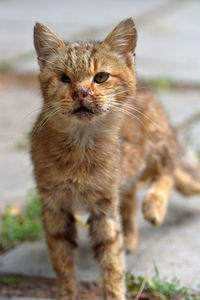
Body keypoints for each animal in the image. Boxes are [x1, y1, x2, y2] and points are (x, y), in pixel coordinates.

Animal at [30, 17, 200, 298]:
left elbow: (112, 262)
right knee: (130, 198)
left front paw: (116, 292)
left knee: (167, 172)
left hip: (156, 147)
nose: (81, 92)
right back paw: (131, 238)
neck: (81, 146)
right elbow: (63, 264)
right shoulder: (54, 207)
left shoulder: (103, 206)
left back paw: (154, 206)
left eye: (100, 77)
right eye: (64, 79)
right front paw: (67, 293)